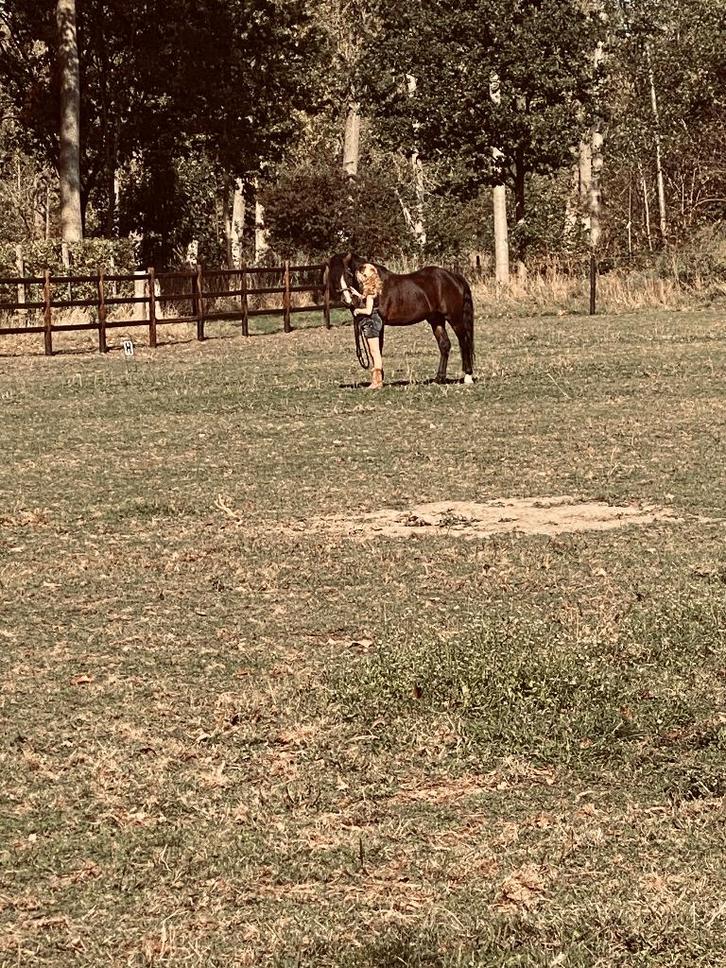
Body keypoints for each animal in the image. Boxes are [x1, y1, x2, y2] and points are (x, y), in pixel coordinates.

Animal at [327, 253, 475, 384]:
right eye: (332, 277)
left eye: (348, 274)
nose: (348, 301)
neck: (377, 285)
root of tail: (454, 277)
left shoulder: (379, 323)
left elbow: (378, 347)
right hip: (436, 320)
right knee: (444, 345)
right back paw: (439, 378)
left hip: (455, 318)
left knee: (464, 342)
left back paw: (468, 376)